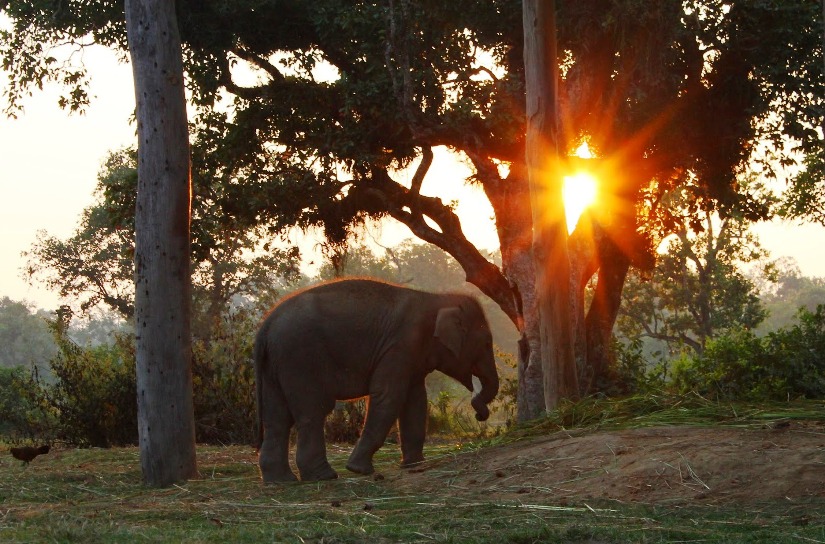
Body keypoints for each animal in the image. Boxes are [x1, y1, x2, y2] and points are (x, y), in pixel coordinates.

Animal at [253, 278, 496, 482]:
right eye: (486, 343)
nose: (479, 415)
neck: (437, 299)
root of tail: (265, 326)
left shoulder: (412, 355)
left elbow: (415, 401)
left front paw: (414, 465)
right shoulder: (401, 345)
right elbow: (389, 396)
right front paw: (358, 470)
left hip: (275, 365)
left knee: (277, 418)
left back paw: (281, 481)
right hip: (300, 359)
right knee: (313, 412)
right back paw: (323, 476)